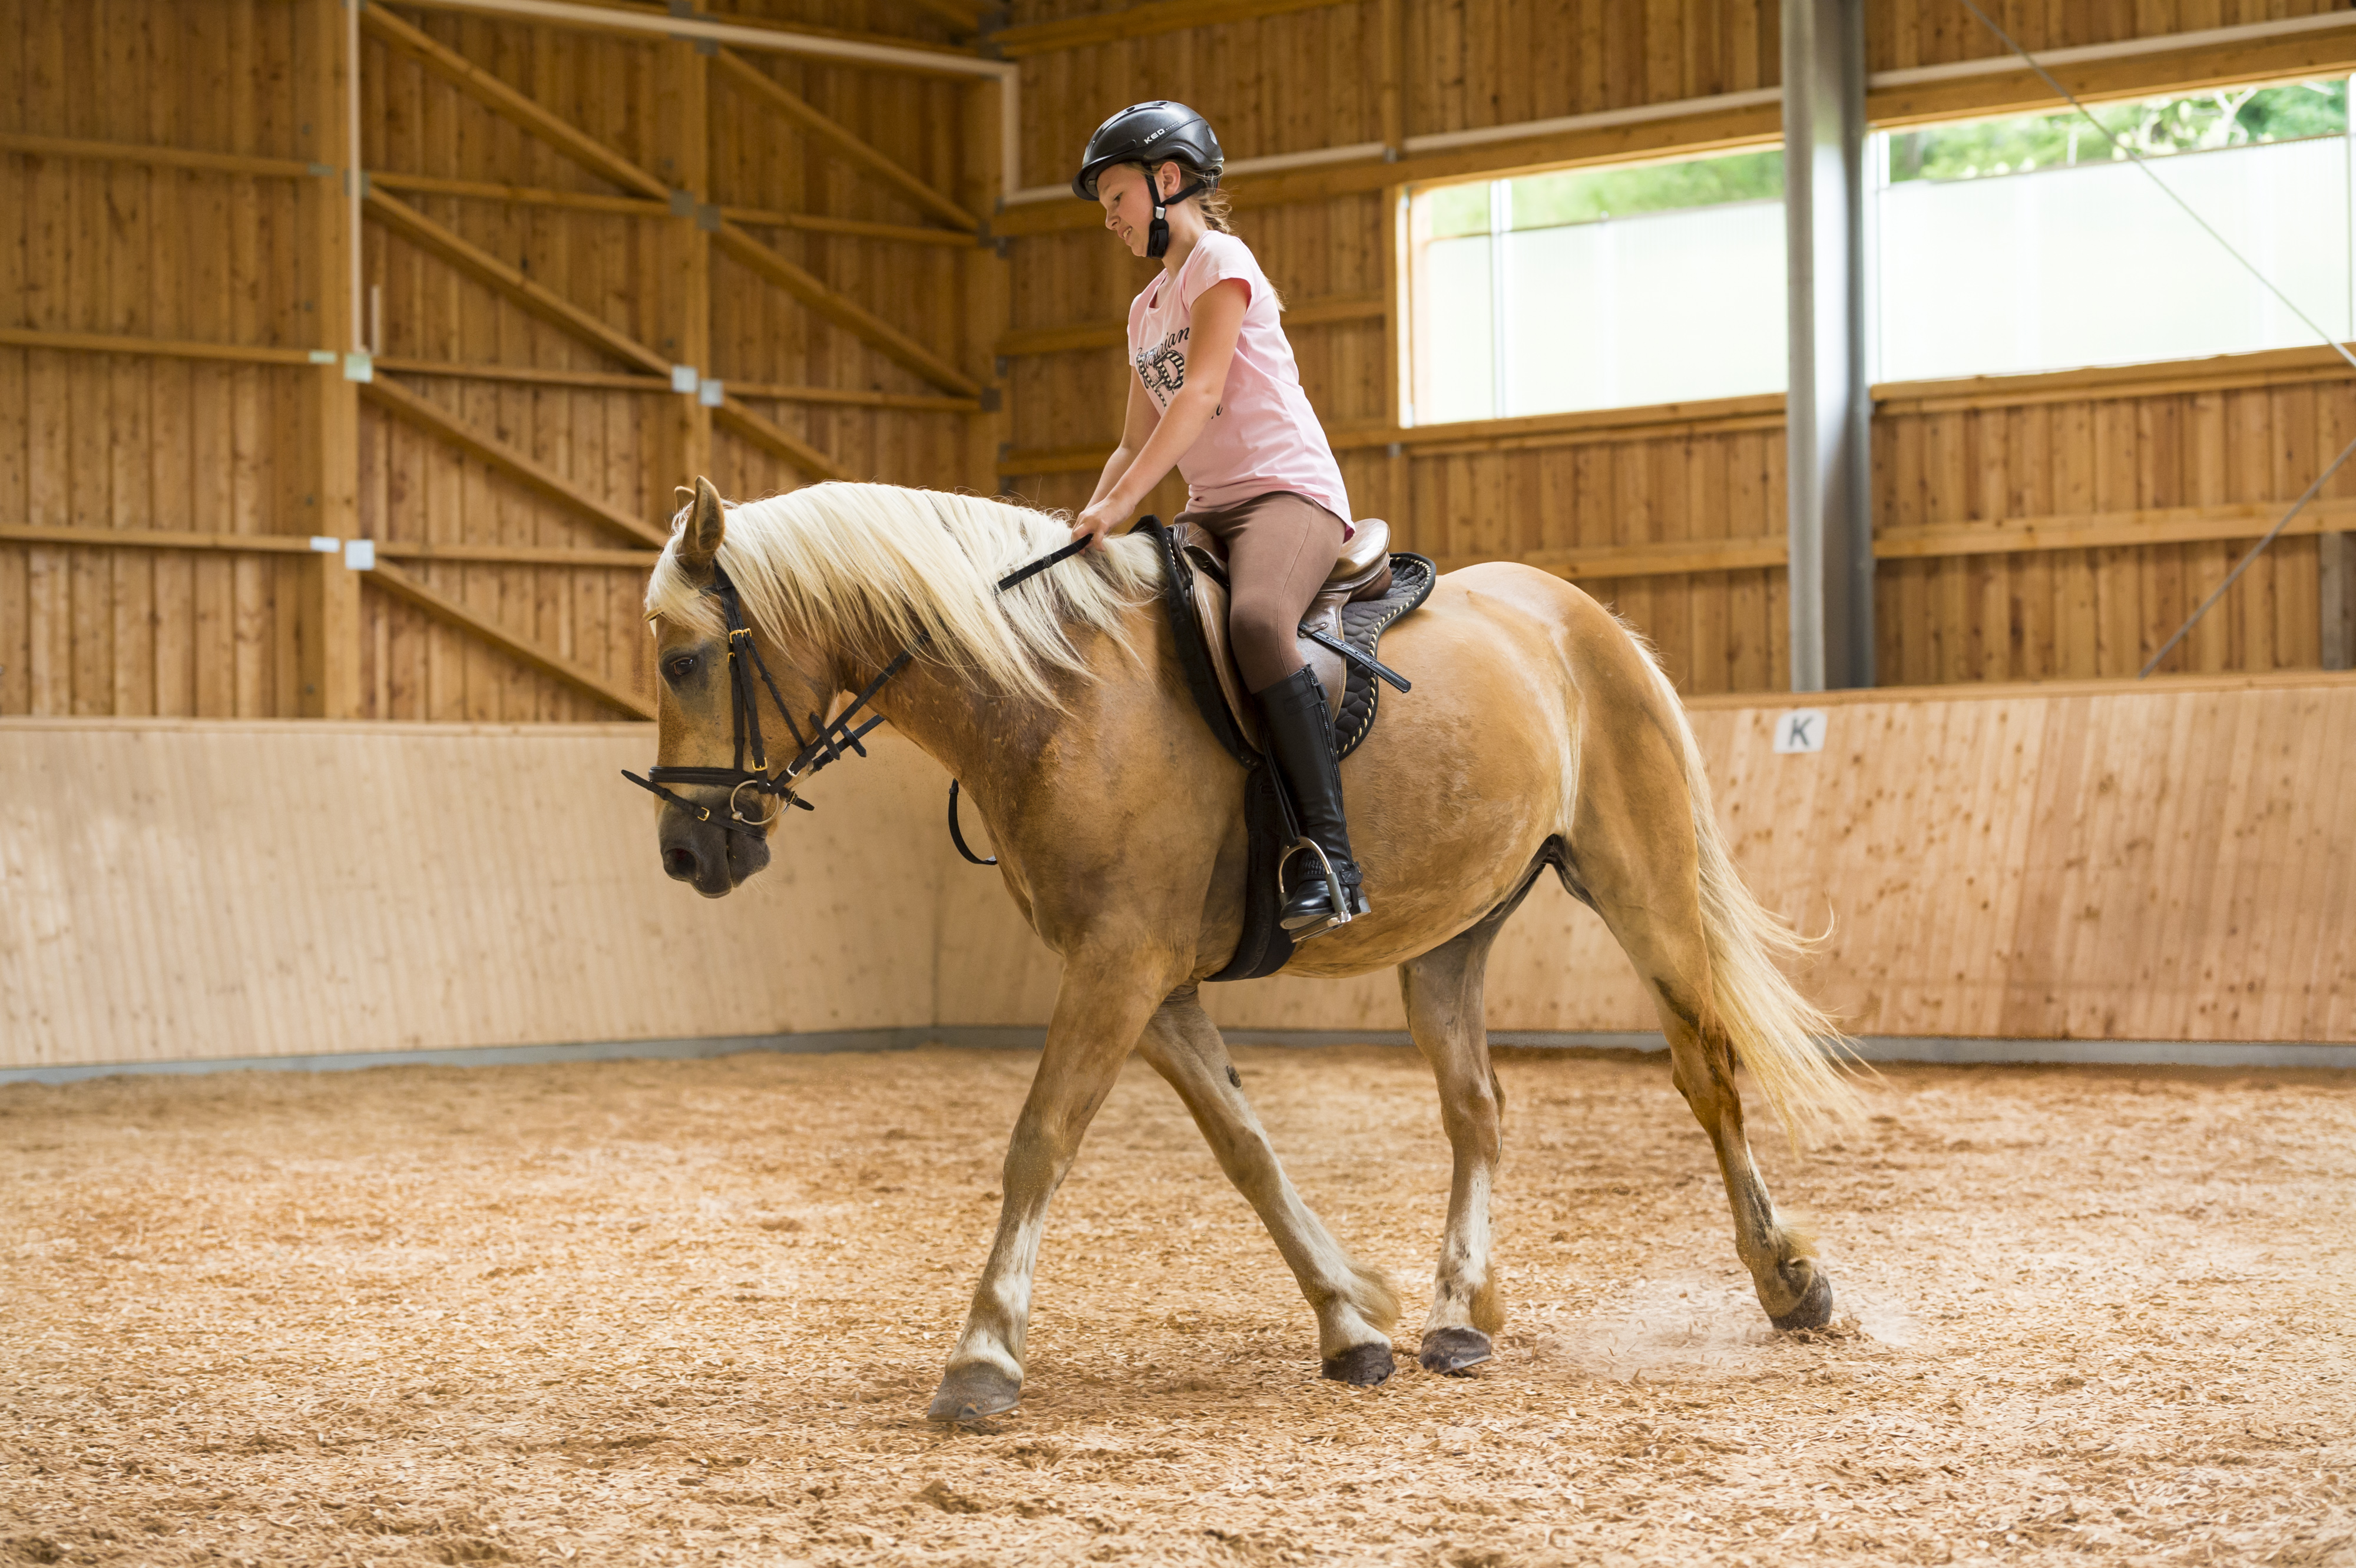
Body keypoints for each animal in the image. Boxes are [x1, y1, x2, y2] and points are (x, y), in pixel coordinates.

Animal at [646, 475, 1857, 1412]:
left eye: (683, 662)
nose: (684, 852)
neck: (1059, 697)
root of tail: (1584, 620)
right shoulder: (1151, 986)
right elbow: (1248, 1151)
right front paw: (1352, 1320)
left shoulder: (1119, 966)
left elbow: (1040, 1140)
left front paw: (983, 1354)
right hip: (1452, 935)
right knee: (1477, 1109)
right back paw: (1460, 1313)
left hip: (1640, 884)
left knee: (1707, 1070)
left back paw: (1788, 1281)